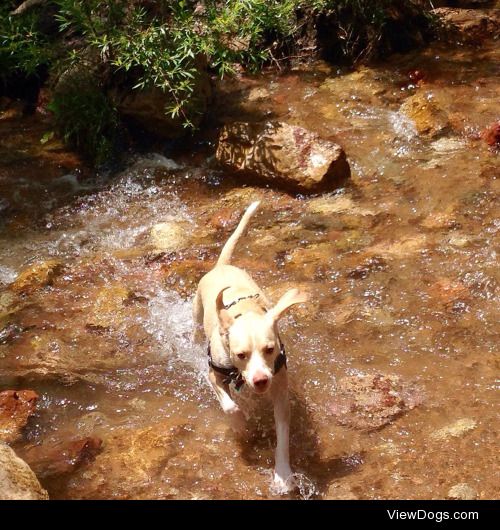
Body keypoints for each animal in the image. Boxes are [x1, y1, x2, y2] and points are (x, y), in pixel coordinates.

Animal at [192, 200, 306, 488]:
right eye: (240, 354)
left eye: (270, 349)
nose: (260, 380)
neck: (244, 312)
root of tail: (222, 266)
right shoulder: (213, 375)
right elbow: (229, 406)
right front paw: (241, 425)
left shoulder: (280, 391)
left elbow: (283, 435)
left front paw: (283, 475)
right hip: (196, 311)